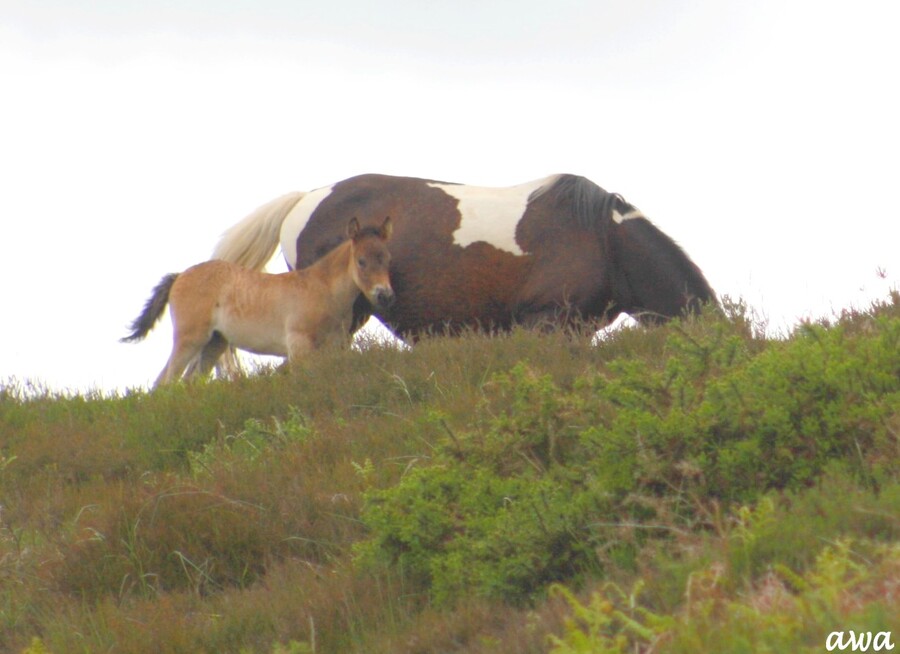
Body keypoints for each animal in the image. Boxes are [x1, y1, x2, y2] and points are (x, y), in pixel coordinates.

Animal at [123, 218, 394, 386]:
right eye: (361, 261)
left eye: (387, 258)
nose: (385, 295)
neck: (321, 288)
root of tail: (180, 276)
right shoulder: (300, 348)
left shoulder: (335, 347)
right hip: (190, 339)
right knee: (167, 382)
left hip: (214, 343)